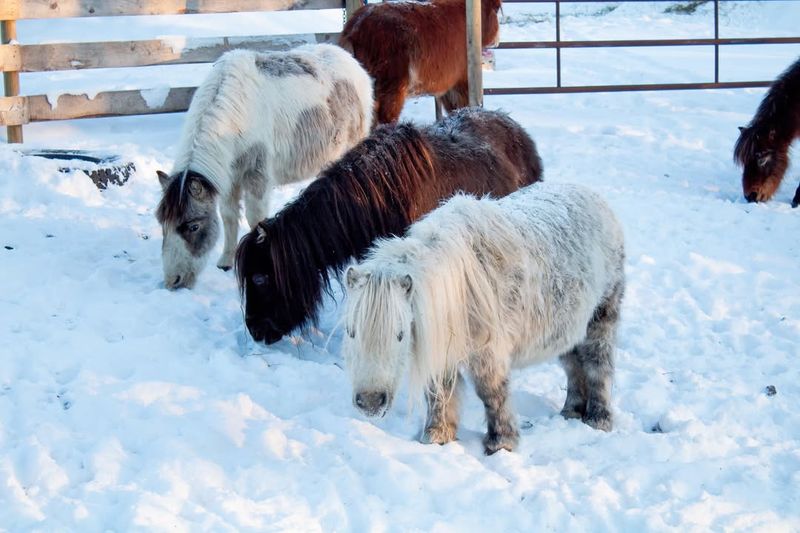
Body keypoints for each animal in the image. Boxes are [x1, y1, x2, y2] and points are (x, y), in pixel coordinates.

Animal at [156, 43, 376, 288]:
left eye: (193, 226)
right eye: (161, 223)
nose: (174, 281)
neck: (234, 115)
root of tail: (352, 62)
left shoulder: (257, 178)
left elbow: (255, 218)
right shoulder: (229, 179)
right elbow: (228, 216)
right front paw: (225, 262)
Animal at [340, 0, 500, 124]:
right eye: (497, 10)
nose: (496, 40)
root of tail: (356, 28)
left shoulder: (447, 85)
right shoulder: (461, 80)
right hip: (391, 87)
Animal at [340, 183, 628, 454]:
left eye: (400, 334)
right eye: (351, 332)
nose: (370, 402)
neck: (455, 286)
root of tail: (595, 197)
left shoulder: (488, 353)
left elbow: (492, 394)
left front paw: (501, 443)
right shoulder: (441, 350)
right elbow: (439, 393)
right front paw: (436, 436)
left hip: (601, 317)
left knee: (598, 365)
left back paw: (598, 419)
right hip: (565, 327)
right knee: (573, 365)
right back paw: (571, 411)